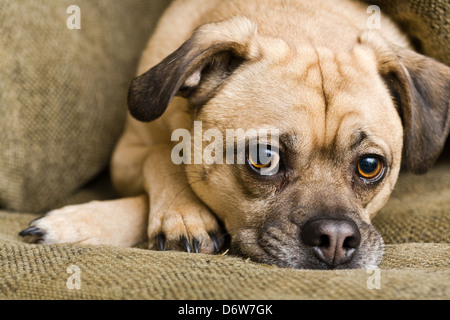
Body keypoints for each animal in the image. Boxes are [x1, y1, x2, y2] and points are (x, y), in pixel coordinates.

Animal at [20, 0, 450, 270]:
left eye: (370, 166)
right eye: (265, 158)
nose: (336, 238)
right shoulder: (128, 153)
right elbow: (161, 156)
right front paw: (185, 214)